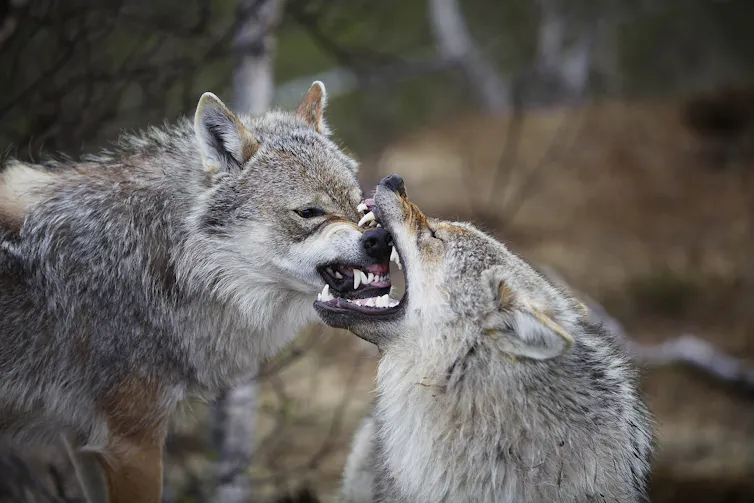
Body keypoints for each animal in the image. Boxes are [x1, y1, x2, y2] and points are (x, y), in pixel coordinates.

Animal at [0, 81, 396, 503]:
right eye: (308, 212)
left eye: (357, 203)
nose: (380, 239)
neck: (167, 261)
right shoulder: (130, 441)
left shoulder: (83, 439)